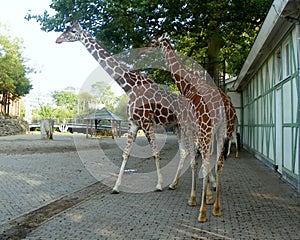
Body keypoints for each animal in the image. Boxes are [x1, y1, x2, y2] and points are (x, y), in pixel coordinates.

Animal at [55, 21, 197, 195]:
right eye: (66, 28)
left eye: (73, 31)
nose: (58, 39)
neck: (129, 86)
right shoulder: (133, 123)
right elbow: (125, 154)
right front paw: (116, 187)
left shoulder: (147, 123)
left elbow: (156, 153)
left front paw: (158, 184)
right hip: (176, 126)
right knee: (184, 151)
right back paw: (174, 184)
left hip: (188, 125)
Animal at [144, 32, 232, 222]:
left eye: (153, 41)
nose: (144, 48)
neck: (187, 86)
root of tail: (224, 108)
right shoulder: (198, 130)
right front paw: (208, 197)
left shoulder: (188, 127)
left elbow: (193, 161)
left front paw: (194, 198)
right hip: (222, 132)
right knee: (219, 163)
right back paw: (216, 208)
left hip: (207, 130)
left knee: (206, 162)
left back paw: (202, 213)